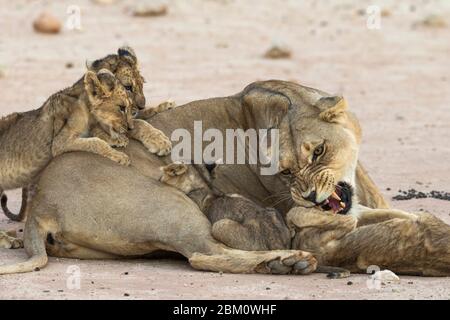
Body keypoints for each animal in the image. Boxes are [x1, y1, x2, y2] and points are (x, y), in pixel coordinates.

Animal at [1, 80, 448, 276]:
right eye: (286, 171)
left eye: (318, 152)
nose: (309, 196)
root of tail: (39, 205)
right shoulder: (305, 218)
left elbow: (391, 215)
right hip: (173, 209)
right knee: (204, 255)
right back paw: (288, 262)